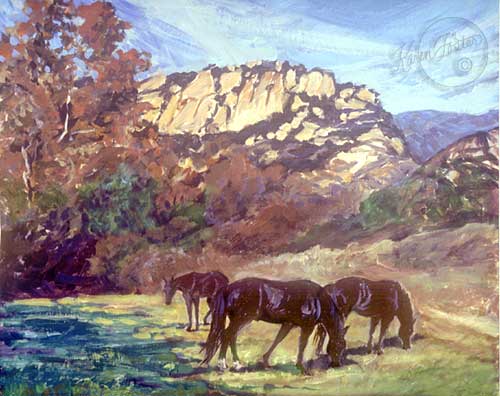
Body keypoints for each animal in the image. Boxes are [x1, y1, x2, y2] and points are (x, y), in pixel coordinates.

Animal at [199, 276, 348, 372]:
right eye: (340, 345)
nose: (337, 364)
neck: (317, 300)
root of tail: (228, 288)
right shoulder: (307, 326)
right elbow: (302, 344)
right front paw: (302, 367)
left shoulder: (288, 324)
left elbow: (278, 340)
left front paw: (265, 361)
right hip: (241, 319)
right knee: (226, 335)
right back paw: (222, 364)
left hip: (240, 321)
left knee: (231, 337)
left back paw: (236, 364)